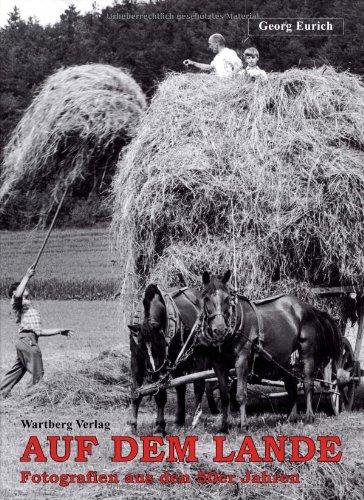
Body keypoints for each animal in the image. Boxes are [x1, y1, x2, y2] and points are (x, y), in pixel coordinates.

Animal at [198, 272, 342, 432]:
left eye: (227, 298)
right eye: (206, 298)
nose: (219, 329)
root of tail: (310, 308)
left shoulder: (242, 360)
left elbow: (241, 395)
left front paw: (243, 426)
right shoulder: (218, 364)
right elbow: (224, 396)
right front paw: (225, 426)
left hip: (307, 353)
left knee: (308, 384)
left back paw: (309, 417)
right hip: (286, 360)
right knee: (292, 386)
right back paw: (291, 417)